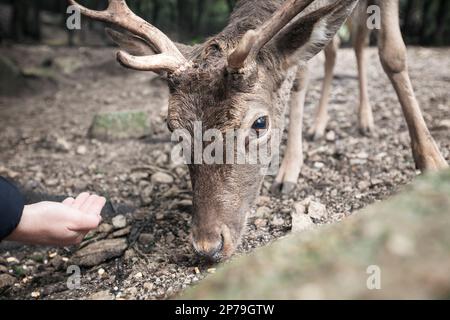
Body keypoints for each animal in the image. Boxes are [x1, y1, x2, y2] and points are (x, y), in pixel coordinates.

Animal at [68, 0, 448, 262]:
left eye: (260, 123)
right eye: (172, 126)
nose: (208, 246)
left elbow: (393, 54)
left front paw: (432, 161)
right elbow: (299, 74)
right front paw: (289, 170)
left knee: (358, 41)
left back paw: (365, 119)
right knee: (334, 47)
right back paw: (319, 124)